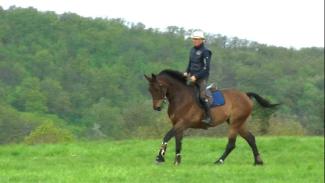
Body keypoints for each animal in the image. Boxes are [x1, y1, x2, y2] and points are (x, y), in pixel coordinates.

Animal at [144, 69, 278, 165]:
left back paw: (219, 161)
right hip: (238, 123)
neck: (181, 98)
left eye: (158, 88)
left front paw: (160, 157)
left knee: (232, 144)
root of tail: (245, 94)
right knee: (250, 138)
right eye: (150, 90)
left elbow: (166, 137)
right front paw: (177, 161)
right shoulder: (178, 125)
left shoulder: (183, 123)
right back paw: (258, 161)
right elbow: (178, 142)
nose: (157, 107)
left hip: (235, 123)